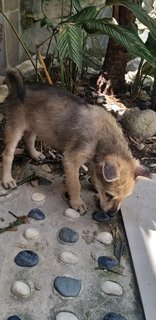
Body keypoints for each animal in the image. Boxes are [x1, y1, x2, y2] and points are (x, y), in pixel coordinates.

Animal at [1, 68, 150, 214]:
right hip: (16, 127)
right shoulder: (71, 160)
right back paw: (7, 180)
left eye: (125, 197)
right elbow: (75, 184)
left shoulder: (94, 160)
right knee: (8, 154)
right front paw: (77, 203)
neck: (103, 137)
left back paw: (35, 154)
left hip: (36, 124)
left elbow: (94, 172)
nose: (112, 214)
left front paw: (95, 184)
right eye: (109, 195)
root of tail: (15, 88)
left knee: (29, 138)